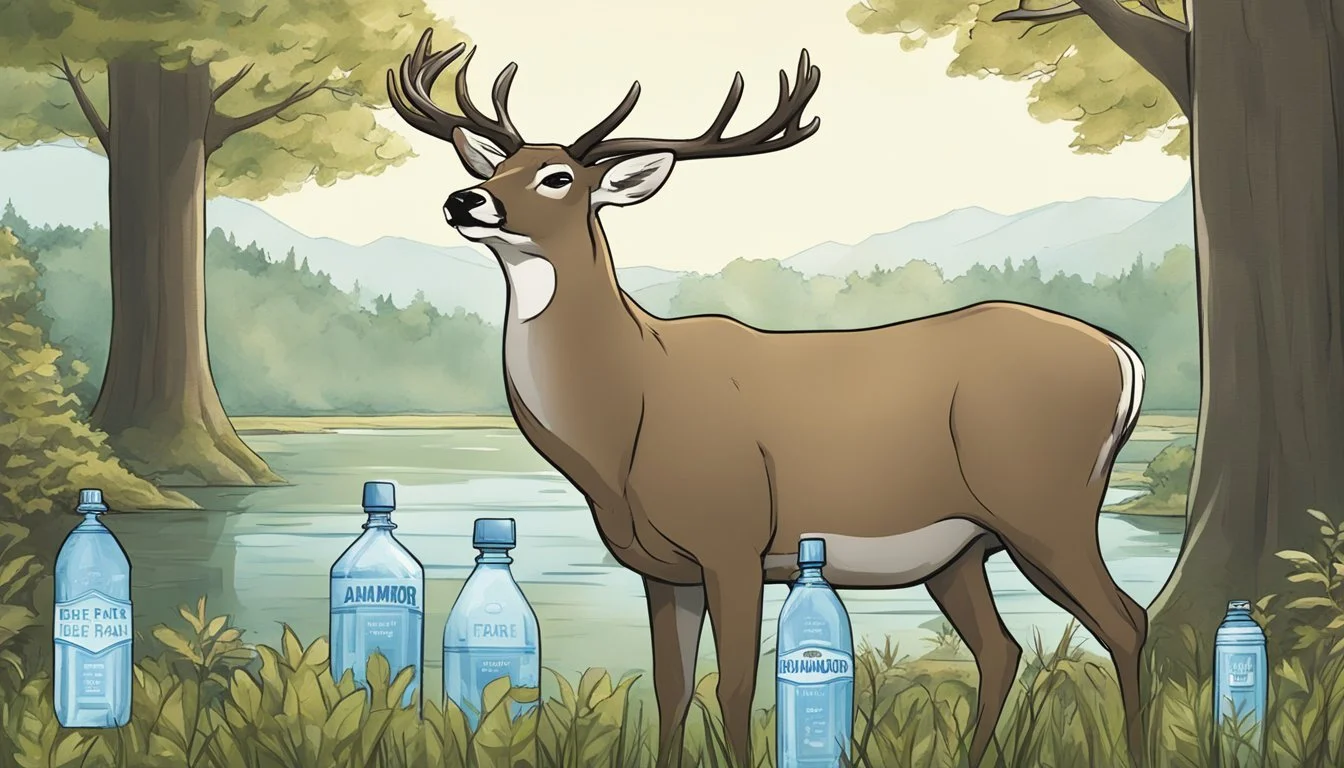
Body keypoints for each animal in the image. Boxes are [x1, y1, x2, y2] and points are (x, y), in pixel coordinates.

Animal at [387, 29, 1150, 768]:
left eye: (558, 177)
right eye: (495, 168)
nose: (464, 199)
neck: (628, 408)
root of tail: (1124, 358)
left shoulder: (734, 537)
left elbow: (733, 685)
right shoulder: (665, 568)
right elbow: (671, 686)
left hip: (1046, 503)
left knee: (1125, 620)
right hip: (961, 546)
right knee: (1002, 648)